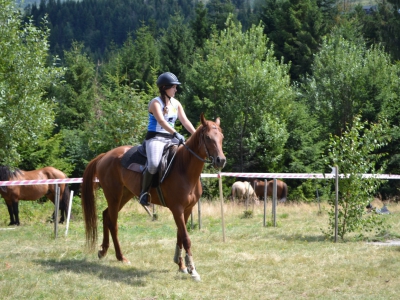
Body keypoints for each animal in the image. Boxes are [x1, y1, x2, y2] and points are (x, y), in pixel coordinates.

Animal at [80, 114, 225, 282]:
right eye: (208, 137)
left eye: (221, 137)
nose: (221, 160)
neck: (183, 168)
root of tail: (106, 155)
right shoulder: (177, 209)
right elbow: (186, 238)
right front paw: (192, 270)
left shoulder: (187, 209)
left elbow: (180, 236)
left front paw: (181, 265)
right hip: (114, 196)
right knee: (113, 223)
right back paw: (121, 257)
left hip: (125, 195)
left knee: (105, 216)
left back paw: (103, 251)